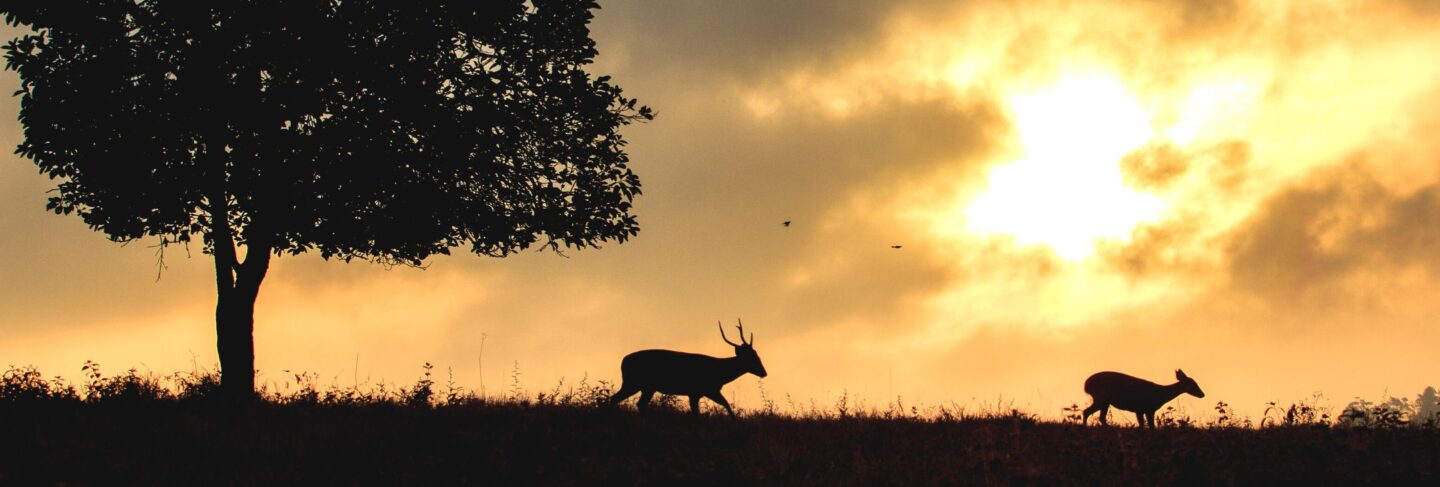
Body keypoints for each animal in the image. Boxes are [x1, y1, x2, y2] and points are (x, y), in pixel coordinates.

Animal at [607, 316, 766, 417]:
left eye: (757, 354)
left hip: (646, 386)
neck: (719, 374)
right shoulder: (698, 391)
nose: (764, 372)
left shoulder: (706, 391)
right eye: (752, 357)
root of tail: (623, 361)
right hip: (633, 382)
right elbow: (701, 413)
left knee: (637, 403)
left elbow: (725, 404)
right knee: (616, 398)